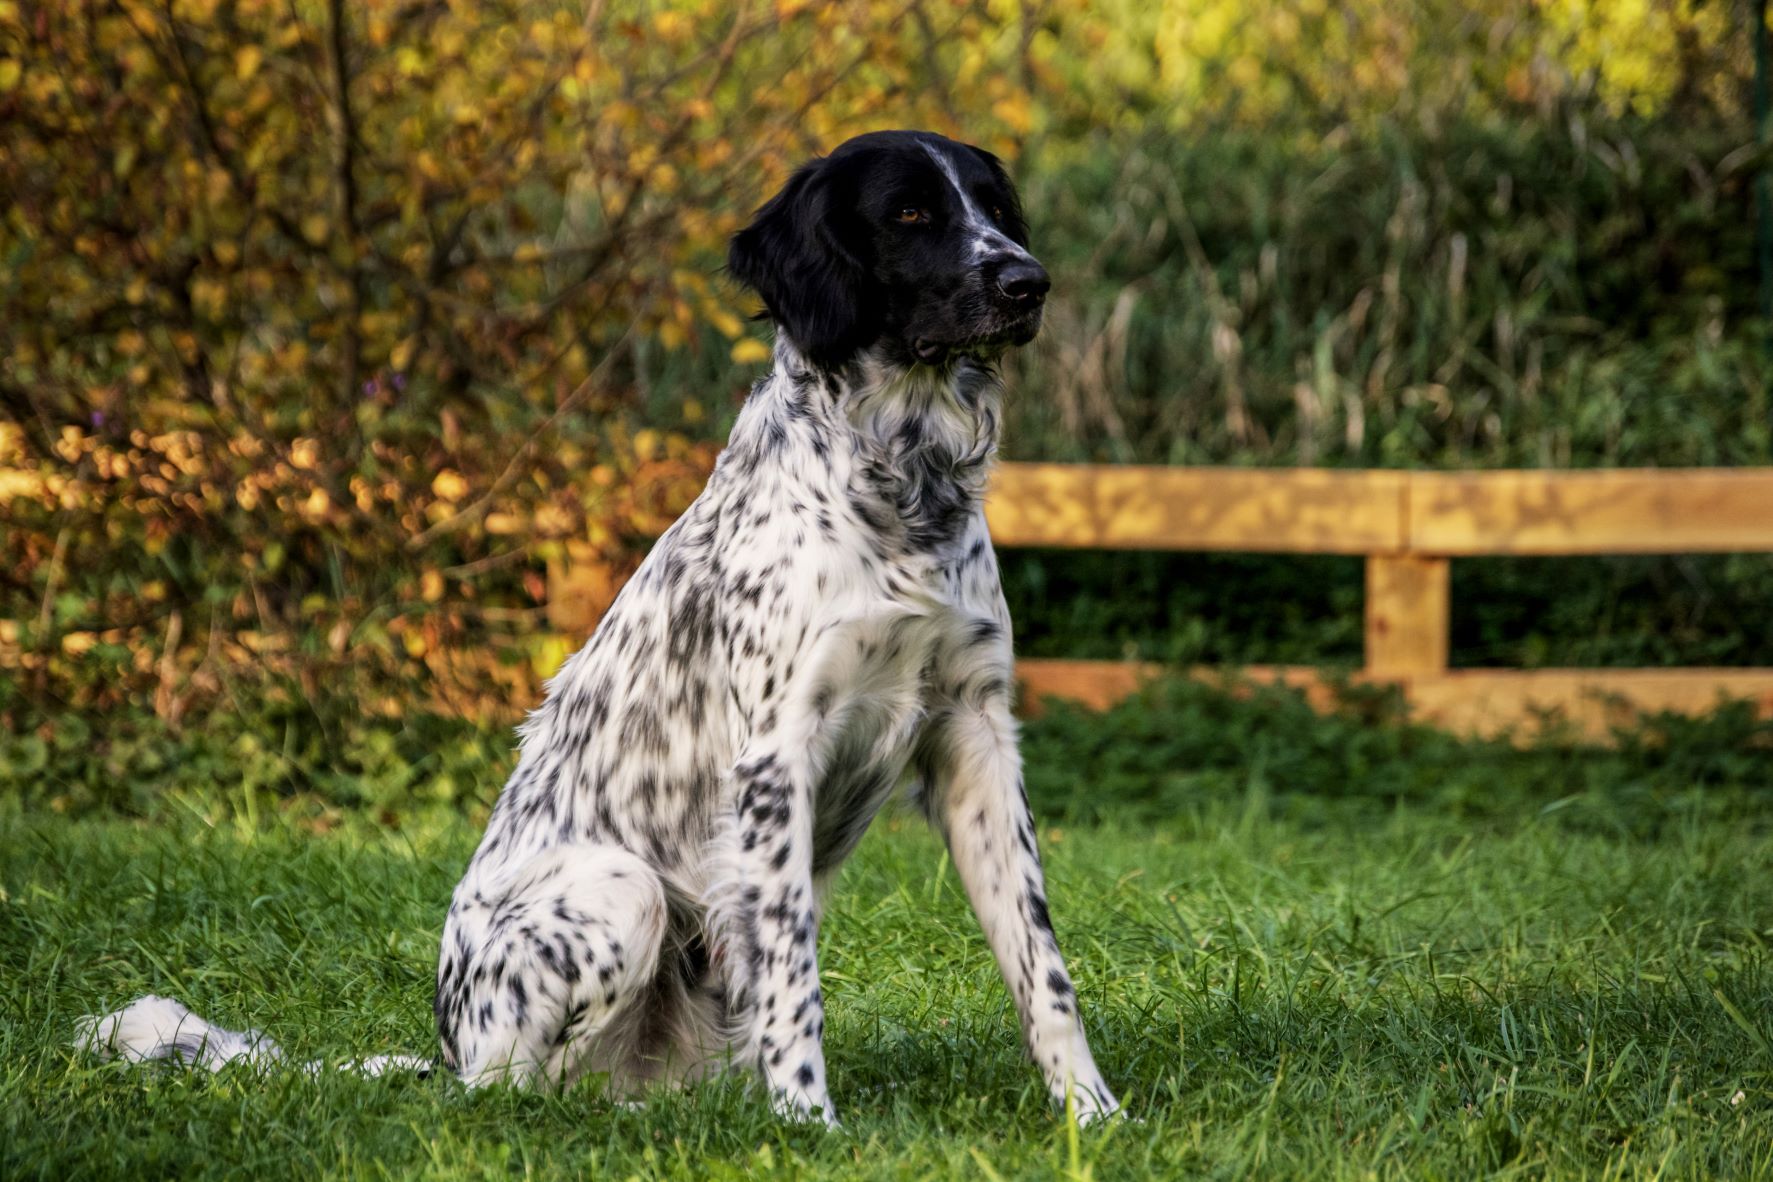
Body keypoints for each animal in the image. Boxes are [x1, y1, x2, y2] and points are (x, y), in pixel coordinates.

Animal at [79, 129, 1120, 1127]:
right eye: (908, 213)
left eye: (993, 208)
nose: (1028, 282)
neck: (900, 487)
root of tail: (444, 1052)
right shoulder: (776, 756)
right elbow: (794, 983)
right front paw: (810, 1124)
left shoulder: (974, 734)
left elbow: (1043, 969)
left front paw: (1091, 1113)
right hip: (620, 891)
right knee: (513, 1092)